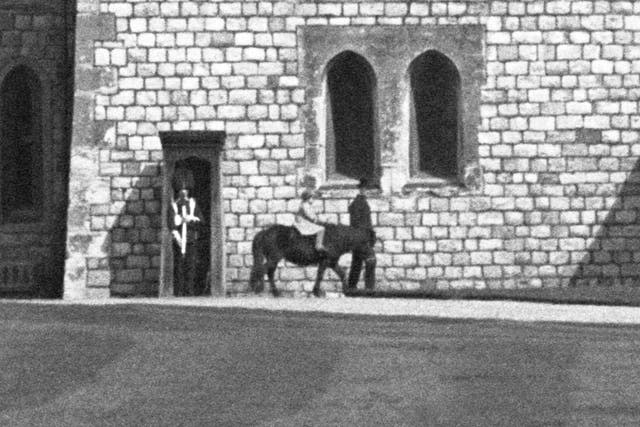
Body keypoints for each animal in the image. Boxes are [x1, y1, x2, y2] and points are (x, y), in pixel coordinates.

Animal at [249, 224, 378, 298]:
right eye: (366, 243)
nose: (373, 259)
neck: (338, 238)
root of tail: (264, 232)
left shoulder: (332, 262)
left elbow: (341, 274)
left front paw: (346, 290)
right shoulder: (326, 261)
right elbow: (320, 275)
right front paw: (316, 292)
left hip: (273, 259)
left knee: (267, 272)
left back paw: (274, 292)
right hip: (274, 258)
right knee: (261, 270)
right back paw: (256, 288)